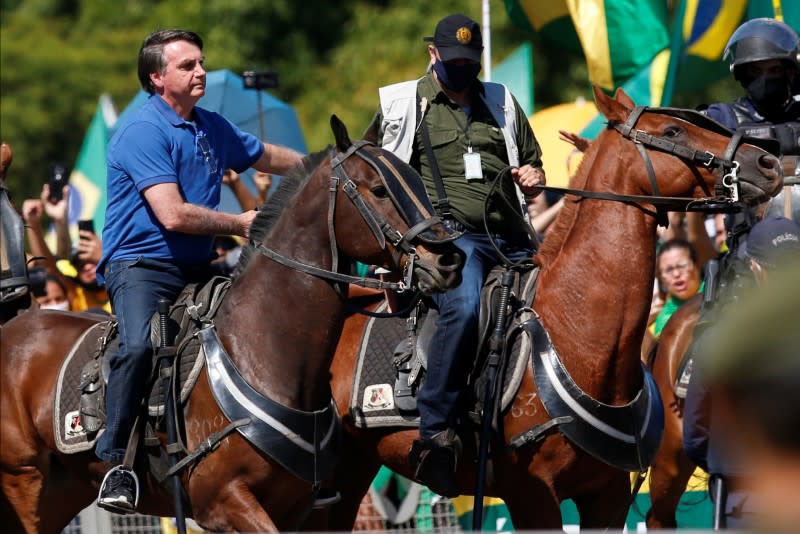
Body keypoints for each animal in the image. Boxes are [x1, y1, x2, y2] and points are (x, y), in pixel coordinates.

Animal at [0, 118, 462, 534]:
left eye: (418, 180)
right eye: (379, 189)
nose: (448, 259)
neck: (264, 352)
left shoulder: (306, 510)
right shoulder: (223, 503)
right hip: (25, 486)